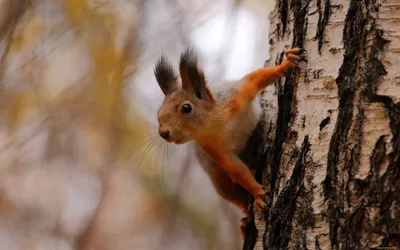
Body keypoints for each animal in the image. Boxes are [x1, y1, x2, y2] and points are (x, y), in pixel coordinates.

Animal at [153, 46, 306, 236]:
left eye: (186, 108)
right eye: (159, 111)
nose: (163, 133)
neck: (215, 124)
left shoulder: (236, 97)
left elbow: (258, 77)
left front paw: (286, 63)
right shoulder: (211, 146)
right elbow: (235, 169)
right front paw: (258, 194)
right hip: (219, 180)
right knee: (237, 197)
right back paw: (245, 218)